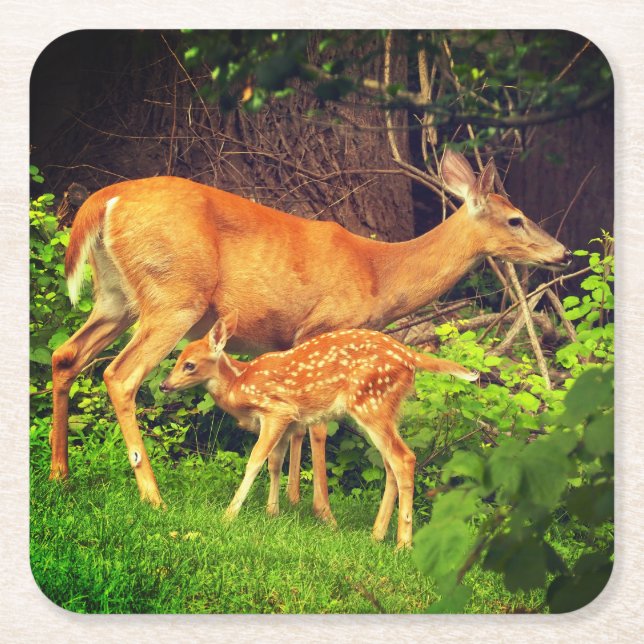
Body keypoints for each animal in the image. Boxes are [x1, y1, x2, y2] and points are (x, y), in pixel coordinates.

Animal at [49, 149, 572, 521]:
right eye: (516, 218)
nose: (563, 253)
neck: (379, 274)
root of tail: (103, 201)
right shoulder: (328, 323)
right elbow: (320, 428)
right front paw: (323, 511)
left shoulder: (293, 342)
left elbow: (297, 427)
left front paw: (289, 502)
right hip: (174, 296)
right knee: (121, 375)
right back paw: (152, 495)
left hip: (115, 297)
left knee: (65, 355)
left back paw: (60, 475)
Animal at [159, 310, 479, 548]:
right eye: (177, 359)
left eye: (189, 365)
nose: (164, 385)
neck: (239, 384)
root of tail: (411, 356)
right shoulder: (289, 423)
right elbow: (275, 464)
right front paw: (272, 512)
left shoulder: (277, 411)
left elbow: (255, 461)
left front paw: (229, 515)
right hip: (386, 409)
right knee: (391, 464)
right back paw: (376, 535)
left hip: (371, 403)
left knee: (404, 458)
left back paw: (403, 543)